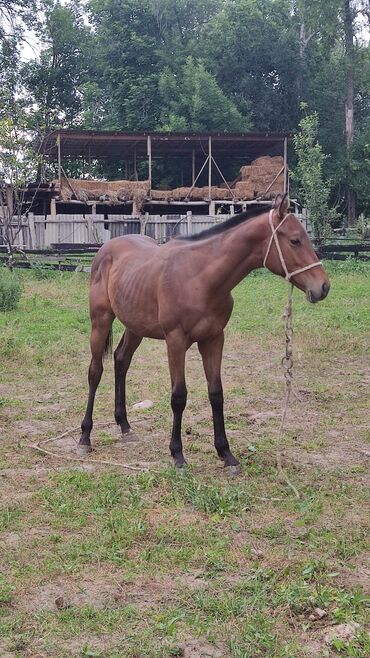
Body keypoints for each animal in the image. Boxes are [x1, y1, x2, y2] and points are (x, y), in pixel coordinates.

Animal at [79, 195, 330, 466]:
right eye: (295, 240)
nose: (323, 287)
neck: (199, 278)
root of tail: (105, 249)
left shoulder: (214, 339)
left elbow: (216, 393)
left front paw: (226, 453)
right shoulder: (175, 341)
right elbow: (179, 396)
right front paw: (178, 454)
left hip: (135, 326)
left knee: (121, 360)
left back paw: (125, 426)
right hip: (101, 320)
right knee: (95, 371)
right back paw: (85, 437)